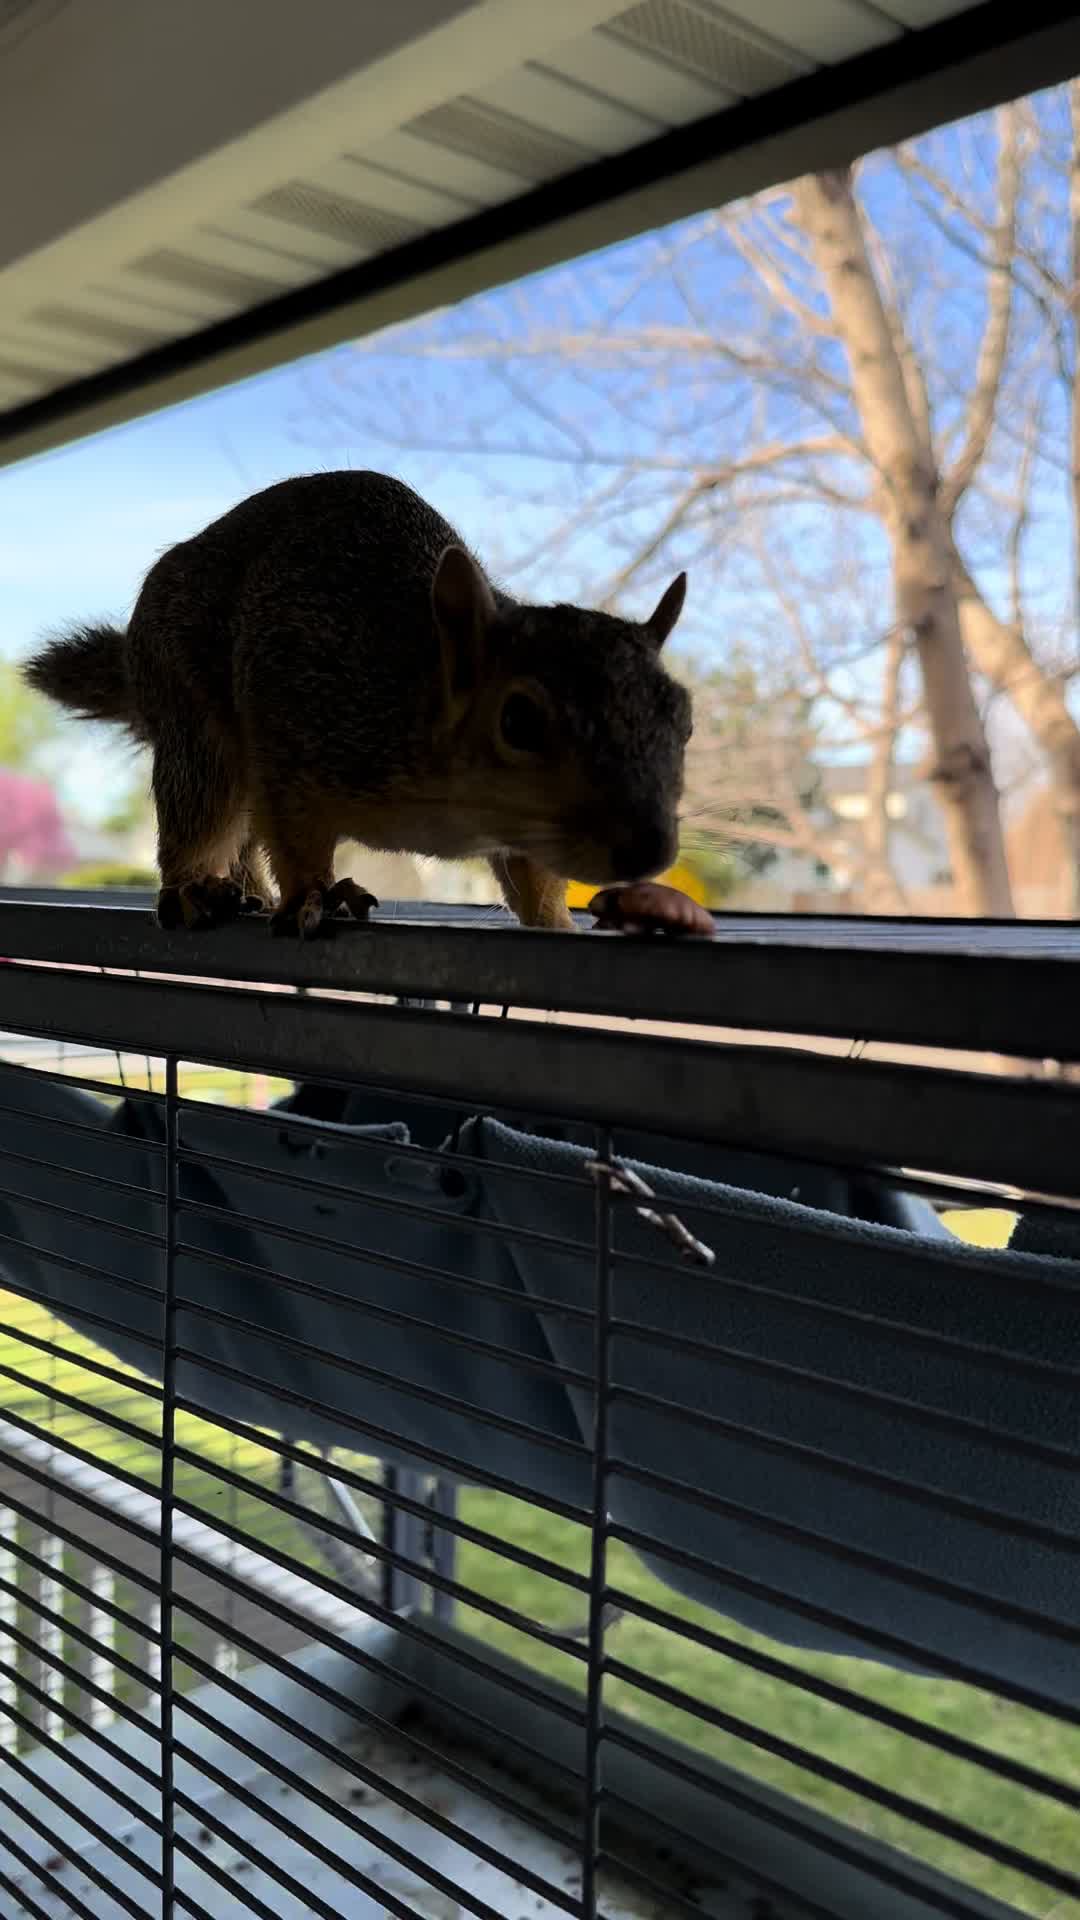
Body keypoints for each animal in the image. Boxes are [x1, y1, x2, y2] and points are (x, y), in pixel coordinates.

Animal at [24, 470, 695, 937]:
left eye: (684, 719)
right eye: (518, 720)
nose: (650, 850)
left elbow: (536, 876)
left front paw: (556, 919)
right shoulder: (301, 720)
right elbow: (296, 838)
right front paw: (314, 896)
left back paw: (245, 891)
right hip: (193, 717)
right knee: (203, 812)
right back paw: (193, 890)